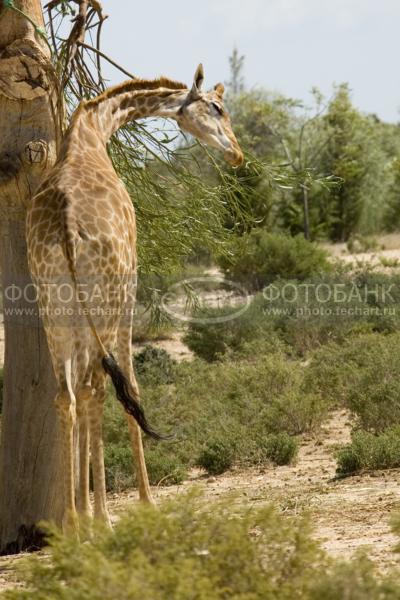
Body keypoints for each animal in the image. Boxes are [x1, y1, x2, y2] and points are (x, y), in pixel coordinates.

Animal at [25, 65, 244, 532]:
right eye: (217, 107)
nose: (236, 153)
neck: (93, 131)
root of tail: (66, 223)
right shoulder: (131, 283)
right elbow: (132, 383)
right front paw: (143, 504)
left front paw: (88, 513)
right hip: (106, 298)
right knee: (96, 386)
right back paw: (98, 519)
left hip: (53, 304)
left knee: (69, 394)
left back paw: (73, 524)